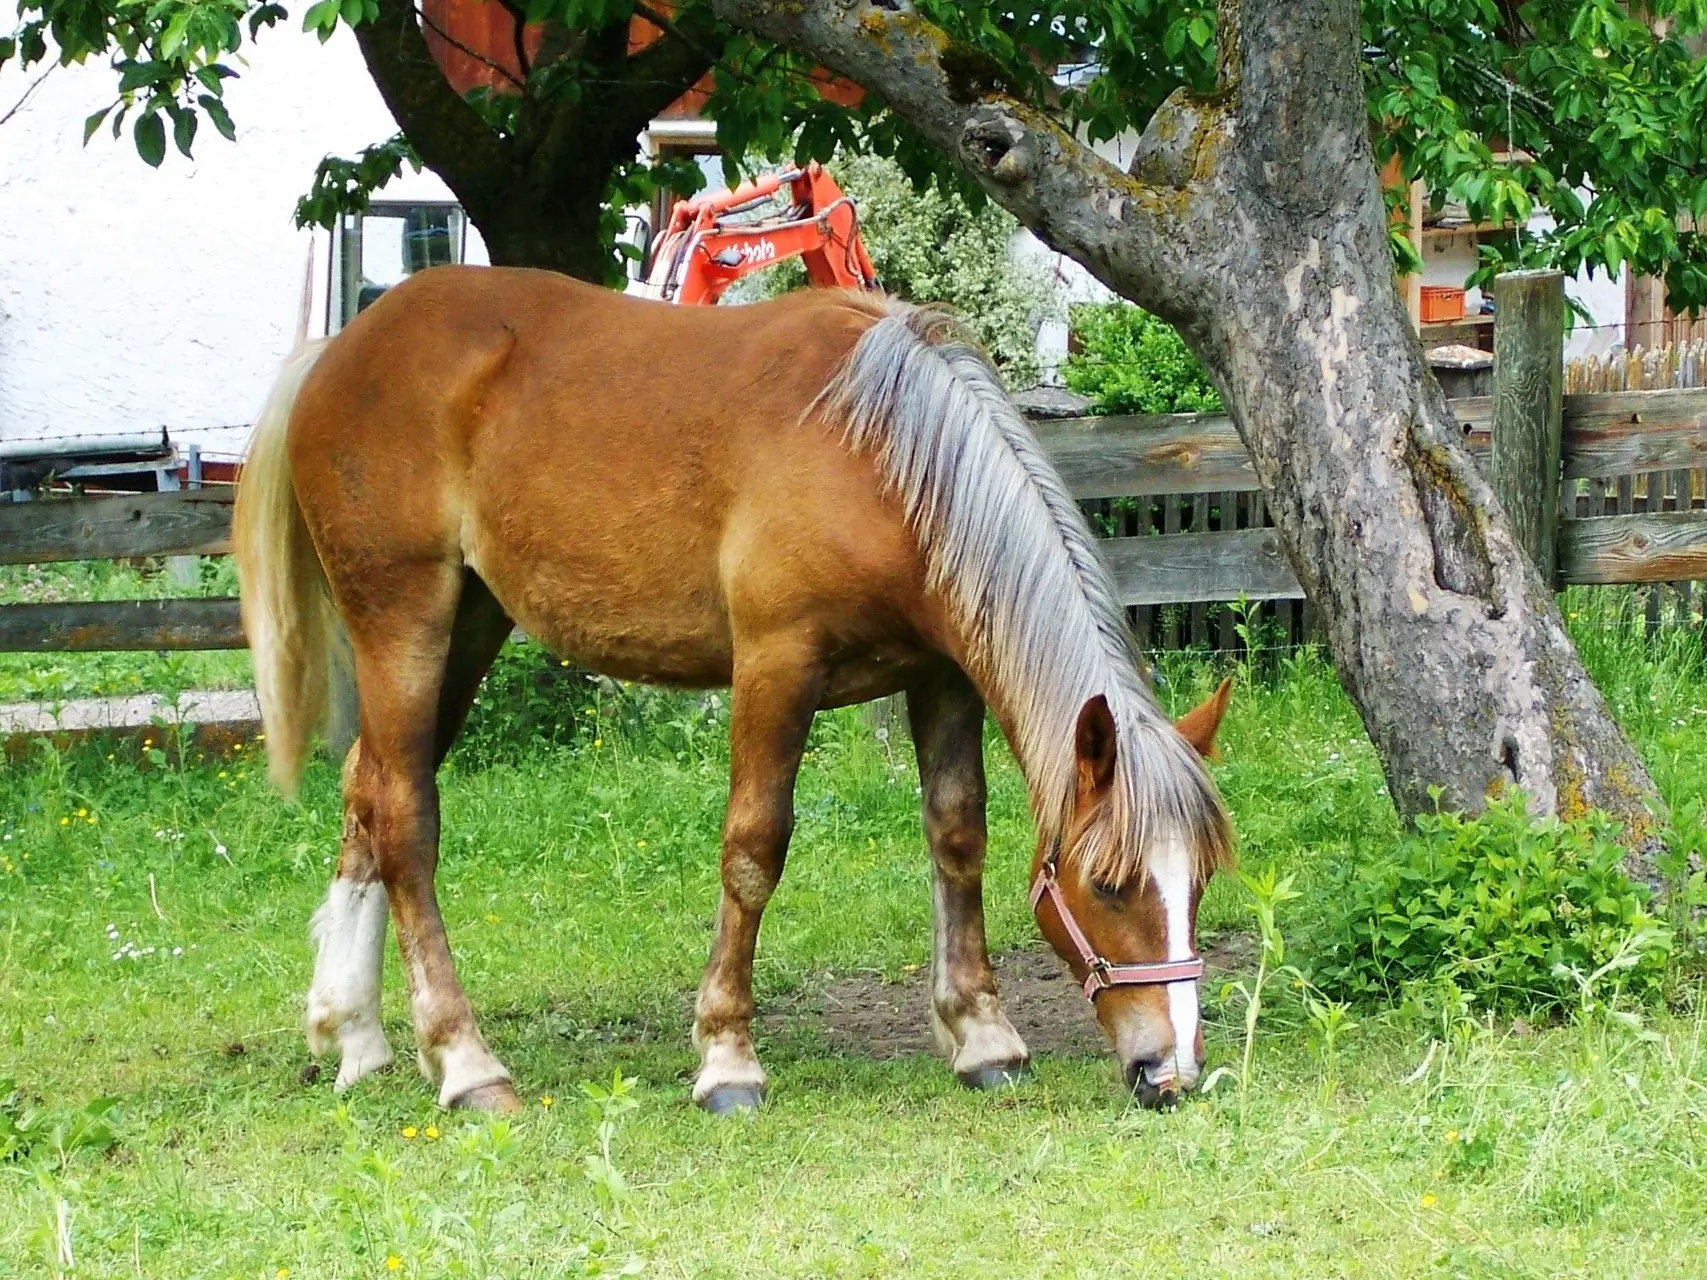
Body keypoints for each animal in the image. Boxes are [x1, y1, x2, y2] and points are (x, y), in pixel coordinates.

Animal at [233, 266, 1235, 1119]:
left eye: (1198, 881)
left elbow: (957, 836)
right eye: (1107, 885)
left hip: (468, 626)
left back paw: (355, 1036)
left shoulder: (943, 675)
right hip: (403, 622)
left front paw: (983, 1038)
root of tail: (343, 347)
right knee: (405, 818)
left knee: (369, 792)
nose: (1170, 1073)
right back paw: (464, 1061)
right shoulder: (773, 667)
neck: (880, 454)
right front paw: (726, 1058)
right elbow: (753, 849)